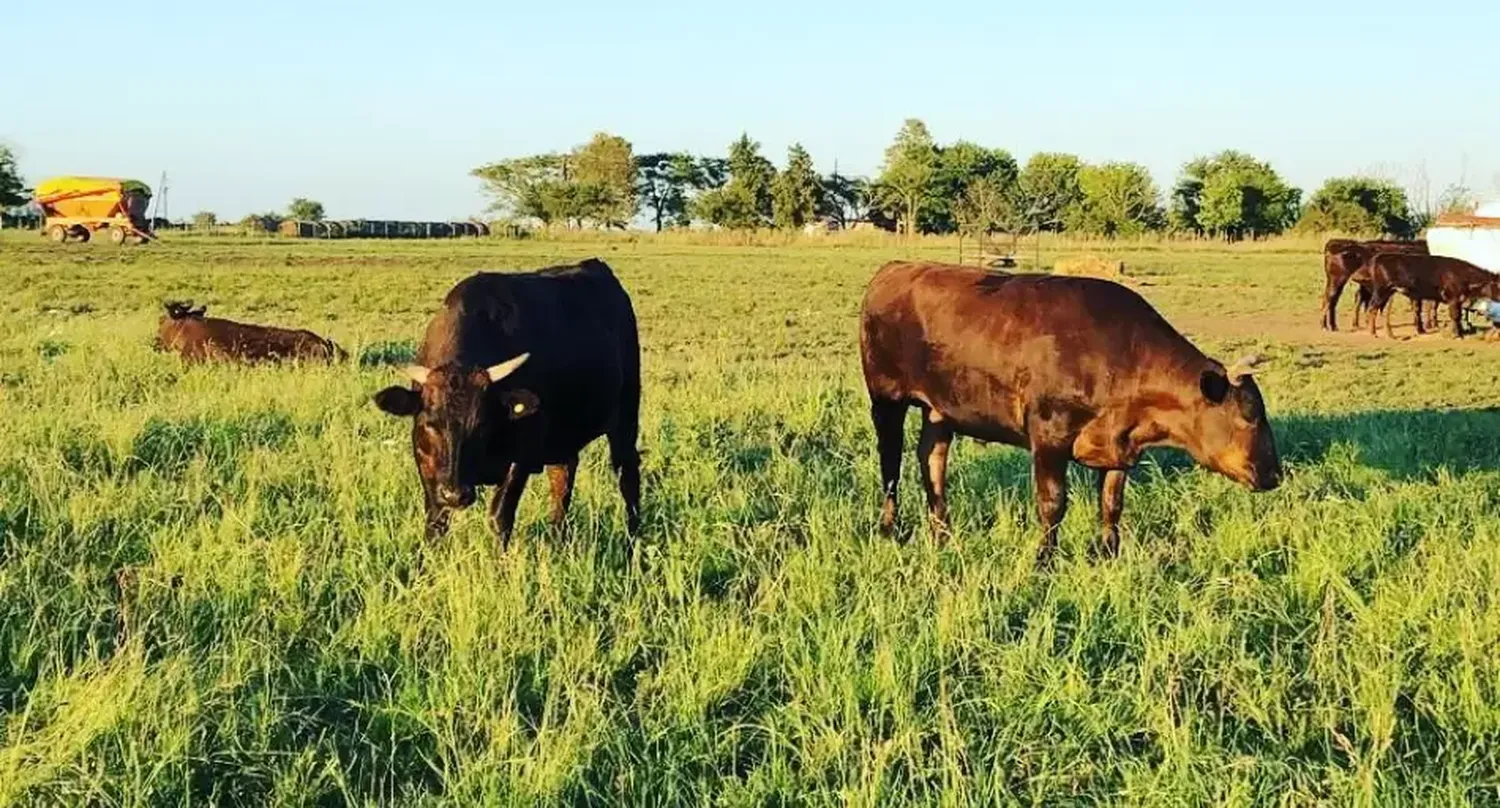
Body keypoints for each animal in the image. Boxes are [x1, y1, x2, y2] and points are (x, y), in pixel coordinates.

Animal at [373, 259, 639, 542]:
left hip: (626, 418)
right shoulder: (427, 462)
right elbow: (436, 519)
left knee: (628, 476)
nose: (456, 494)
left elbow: (499, 517)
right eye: (430, 425)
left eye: (482, 426)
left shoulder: (521, 456)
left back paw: (632, 541)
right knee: (562, 480)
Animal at [864, 262, 1284, 566]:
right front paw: (1043, 560)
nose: (1275, 474)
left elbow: (1112, 503)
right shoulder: (1049, 436)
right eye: (1249, 414)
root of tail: (896, 269)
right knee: (891, 463)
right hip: (885, 399)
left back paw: (942, 534)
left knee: (931, 459)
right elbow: (1053, 504)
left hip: (939, 410)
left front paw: (1109, 553)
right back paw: (888, 528)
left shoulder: (1118, 447)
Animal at [1368, 256, 1500, 338]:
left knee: (1380, 310)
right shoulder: (1453, 299)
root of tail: (1380, 257)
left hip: (1387, 293)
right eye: (1498, 285)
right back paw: (1373, 333)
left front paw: (1461, 331)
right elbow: (1455, 316)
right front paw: (1457, 334)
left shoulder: (1458, 300)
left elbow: (1458, 316)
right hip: (1381, 291)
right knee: (1372, 308)